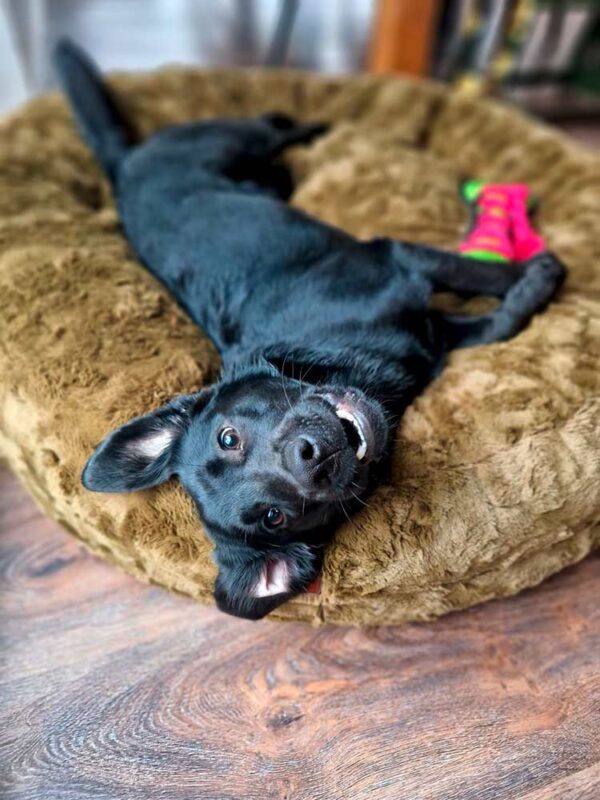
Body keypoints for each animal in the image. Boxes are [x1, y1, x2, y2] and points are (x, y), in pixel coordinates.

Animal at [54, 40, 564, 620]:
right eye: (273, 516)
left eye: (229, 436)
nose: (311, 458)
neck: (339, 357)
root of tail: (122, 165)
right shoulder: (427, 318)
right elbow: (499, 317)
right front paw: (544, 274)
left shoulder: (398, 258)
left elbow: (484, 279)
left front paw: (542, 271)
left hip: (232, 138)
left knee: (275, 123)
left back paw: (321, 127)